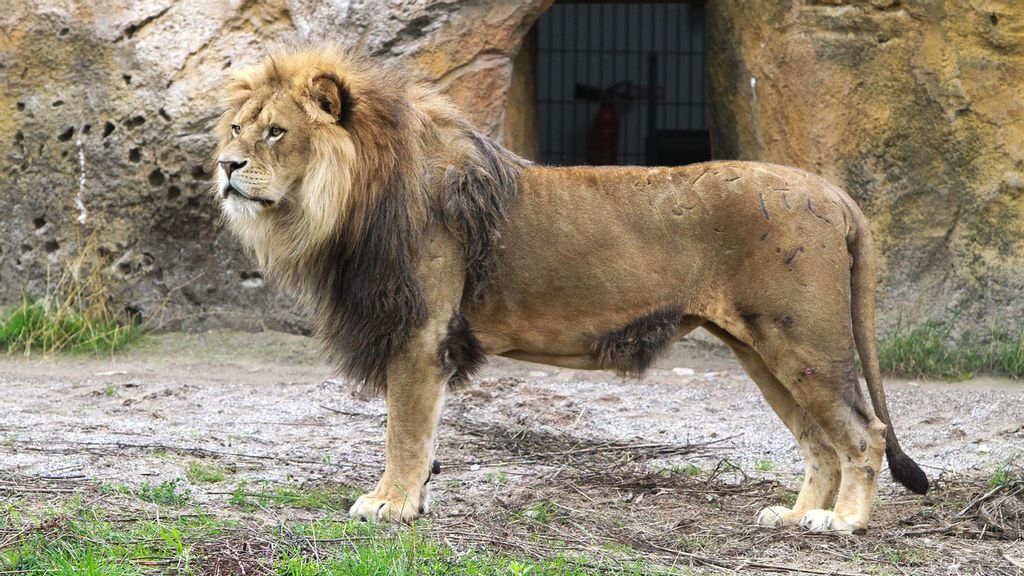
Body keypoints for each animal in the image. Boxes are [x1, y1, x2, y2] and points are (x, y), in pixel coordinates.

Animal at [214, 43, 929, 528]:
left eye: (276, 131)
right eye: (236, 128)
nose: (224, 165)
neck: (351, 200)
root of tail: (832, 192)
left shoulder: (421, 333)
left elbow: (405, 430)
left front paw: (389, 504)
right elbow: (425, 432)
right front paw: (413, 502)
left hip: (804, 344)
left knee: (864, 433)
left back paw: (844, 522)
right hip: (763, 352)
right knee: (819, 442)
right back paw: (796, 516)